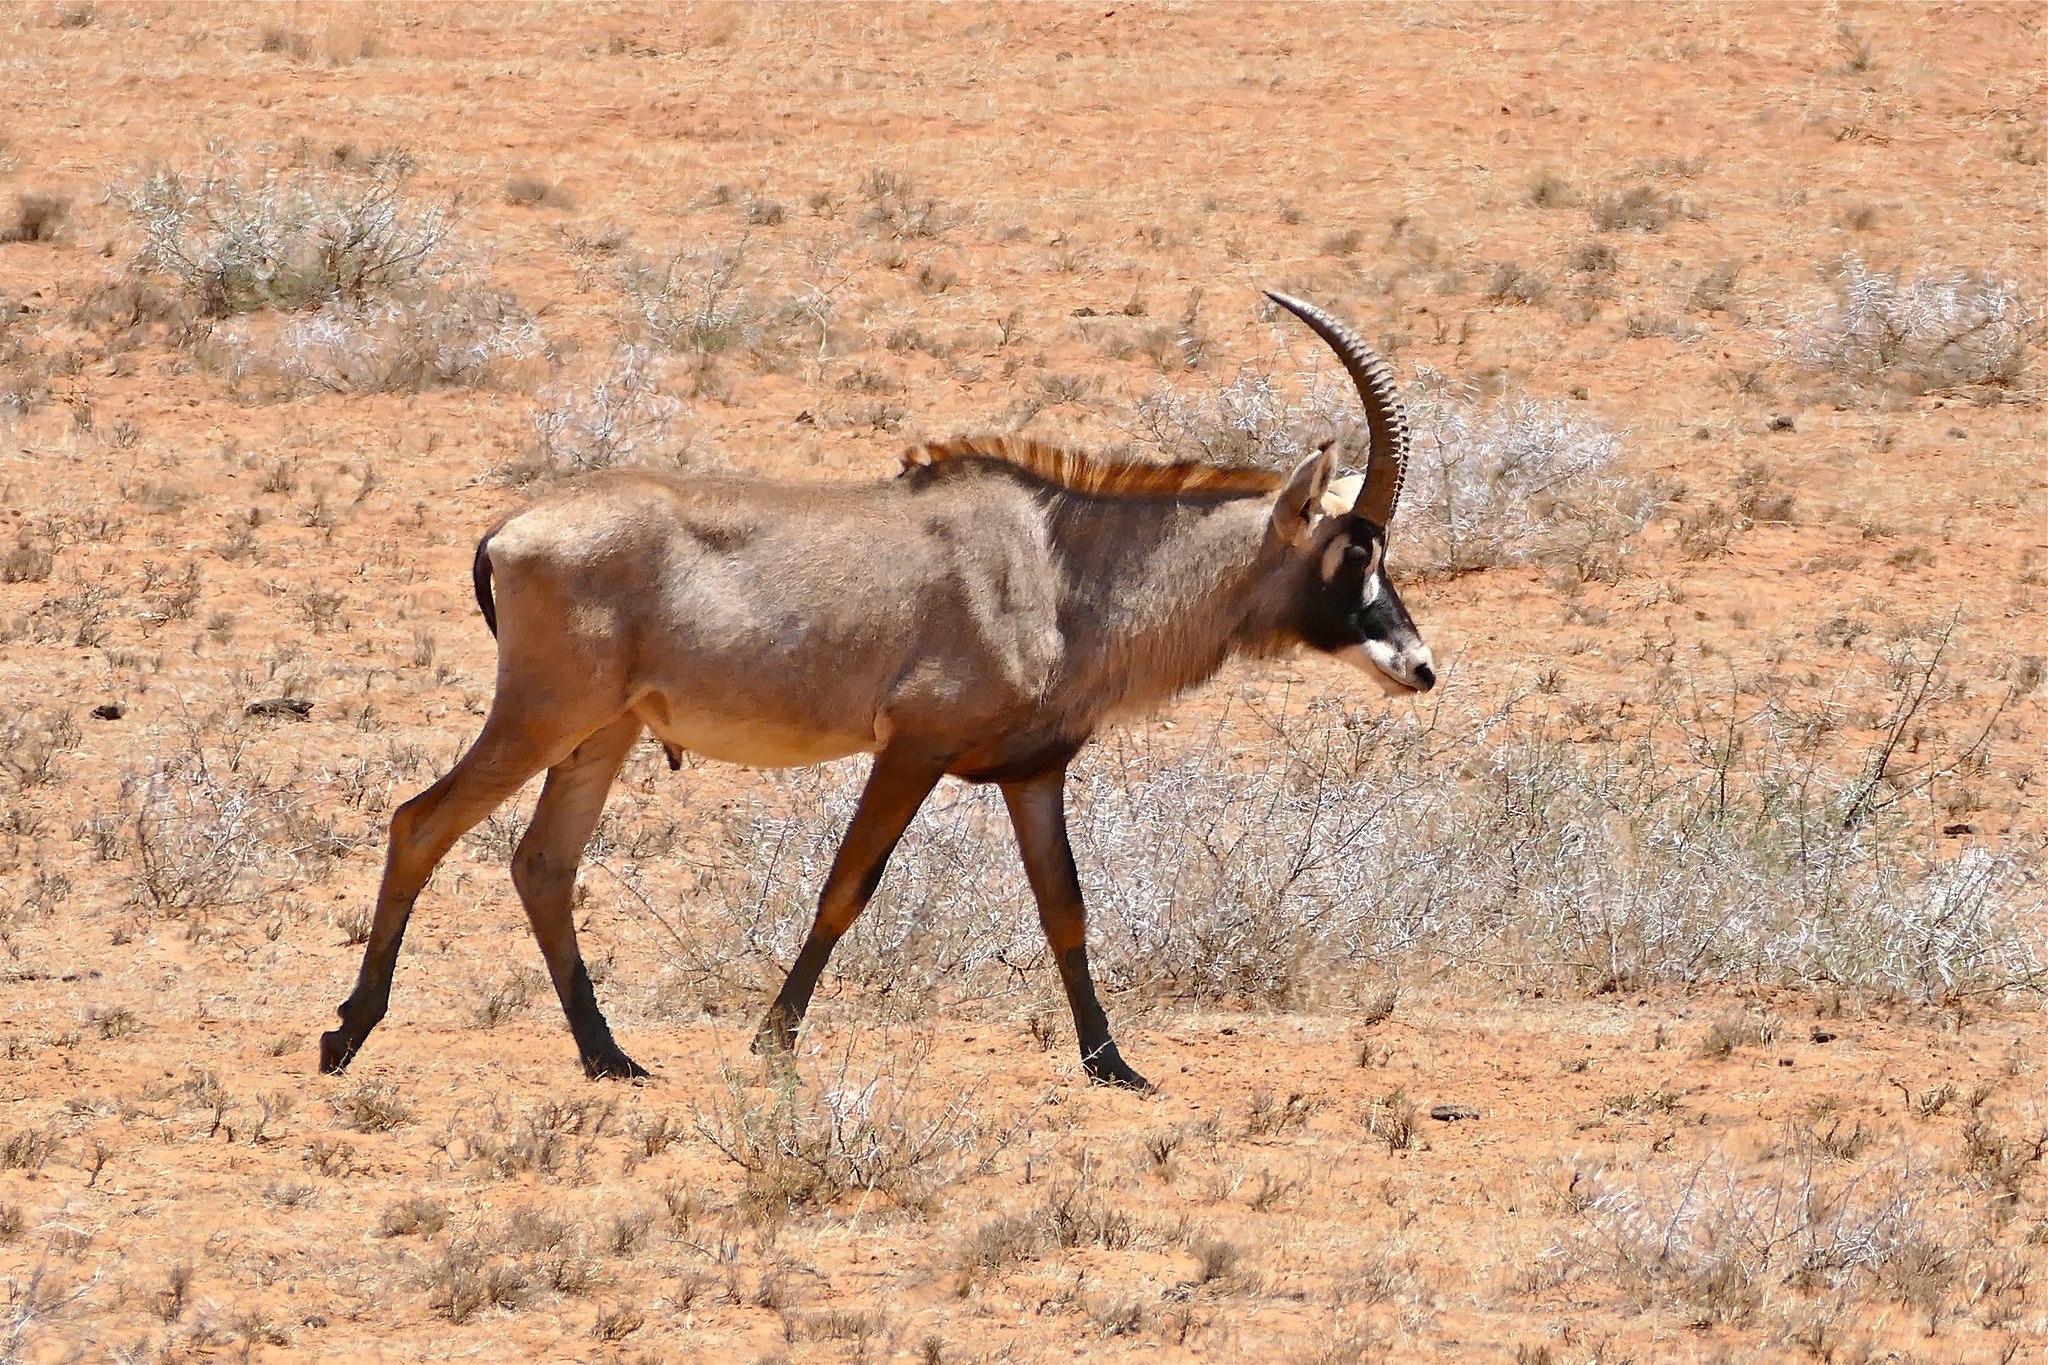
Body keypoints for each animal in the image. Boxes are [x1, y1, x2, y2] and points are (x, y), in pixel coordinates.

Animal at [323, 294, 1441, 1096]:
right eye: (1355, 548)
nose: (1419, 665)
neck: (1058, 563)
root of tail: (509, 531)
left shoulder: (1031, 773)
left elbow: (1064, 908)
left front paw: (1113, 1064)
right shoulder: (911, 750)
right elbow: (846, 886)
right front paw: (772, 1043)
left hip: (603, 734)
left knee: (543, 866)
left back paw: (611, 1058)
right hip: (541, 715)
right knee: (421, 822)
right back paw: (349, 1033)